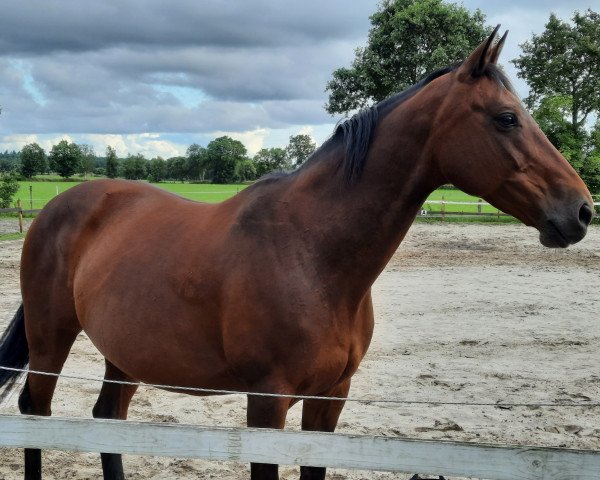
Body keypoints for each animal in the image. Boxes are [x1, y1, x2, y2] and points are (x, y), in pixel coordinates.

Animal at [0, 27, 596, 480]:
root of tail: (62, 206)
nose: (582, 210)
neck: (310, 253)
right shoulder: (267, 403)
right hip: (52, 339)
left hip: (124, 354)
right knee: (36, 411)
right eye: (506, 117)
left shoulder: (330, 399)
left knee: (107, 419)